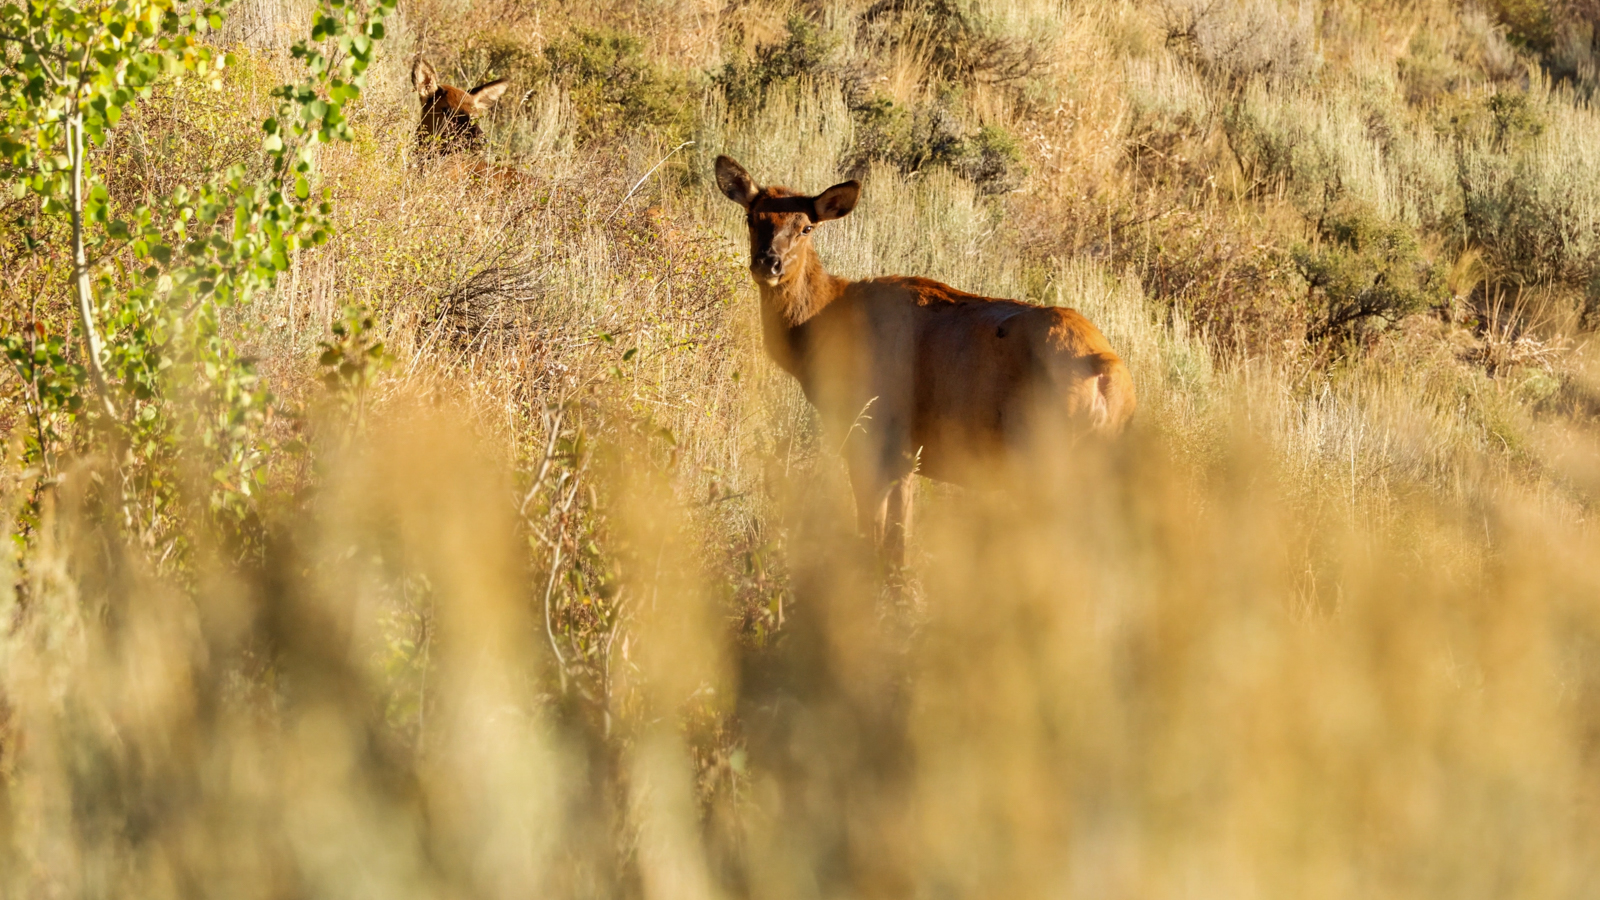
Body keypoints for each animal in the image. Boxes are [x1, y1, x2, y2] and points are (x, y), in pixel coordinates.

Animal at [714, 155, 1135, 571]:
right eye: (752, 217)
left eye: (806, 227)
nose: (769, 263)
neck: (824, 328)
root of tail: (1107, 374)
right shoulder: (905, 453)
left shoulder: (876, 432)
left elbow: (879, 535)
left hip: (1043, 449)